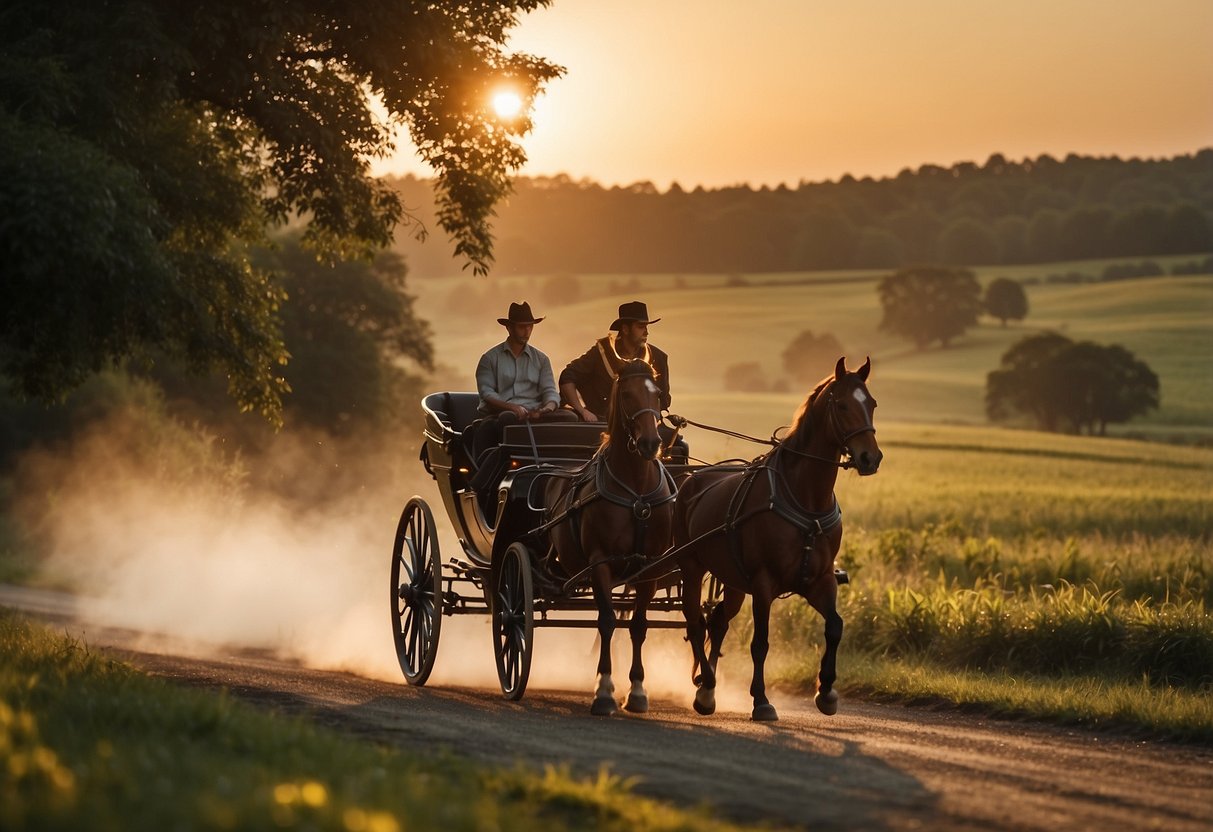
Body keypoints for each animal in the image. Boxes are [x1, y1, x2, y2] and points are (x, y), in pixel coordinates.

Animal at [545, 358, 679, 717]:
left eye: (657, 394)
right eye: (627, 394)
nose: (650, 444)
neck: (636, 491)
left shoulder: (648, 568)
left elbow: (639, 626)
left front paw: (637, 691)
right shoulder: (600, 563)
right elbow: (606, 621)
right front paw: (604, 691)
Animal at [674, 358, 883, 722]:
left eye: (870, 403)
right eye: (843, 405)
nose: (870, 458)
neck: (806, 500)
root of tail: (692, 480)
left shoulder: (820, 580)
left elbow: (835, 627)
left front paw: (827, 691)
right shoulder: (763, 583)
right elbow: (761, 643)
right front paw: (761, 699)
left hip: (732, 581)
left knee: (717, 622)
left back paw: (707, 689)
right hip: (692, 566)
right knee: (696, 623)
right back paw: (706, 686)